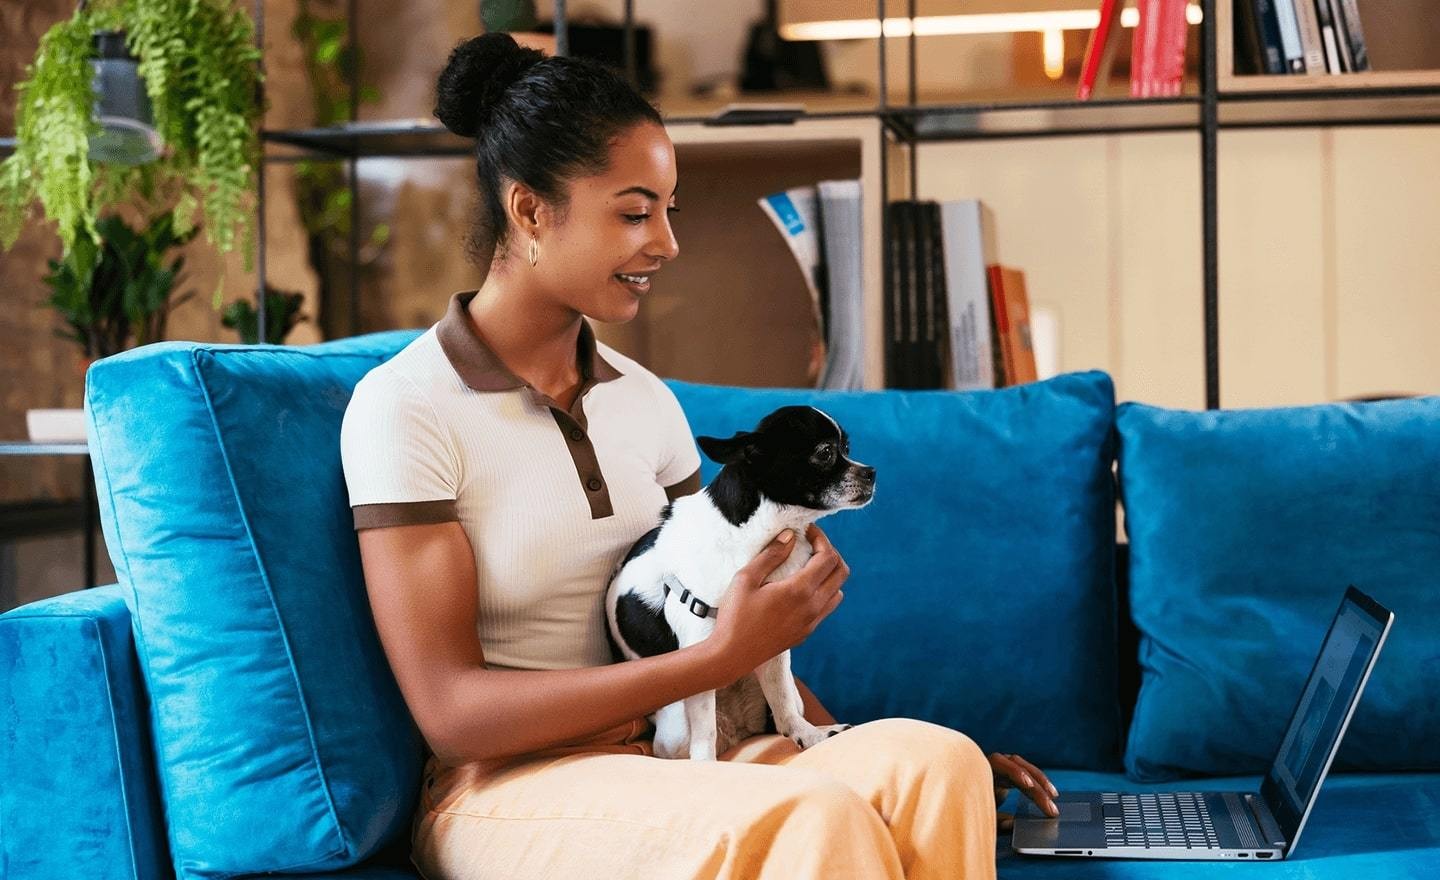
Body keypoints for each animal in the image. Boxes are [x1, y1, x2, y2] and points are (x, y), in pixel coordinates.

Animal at [599, 409, 869, 760]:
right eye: (825, 453)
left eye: (847, 448)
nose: (871, 472)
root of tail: (739, 727)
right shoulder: (701, 650)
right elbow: (704, 733)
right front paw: (707, 766)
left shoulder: (773, 645)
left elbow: (782, 700)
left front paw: (808, 735)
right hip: (675, 727)